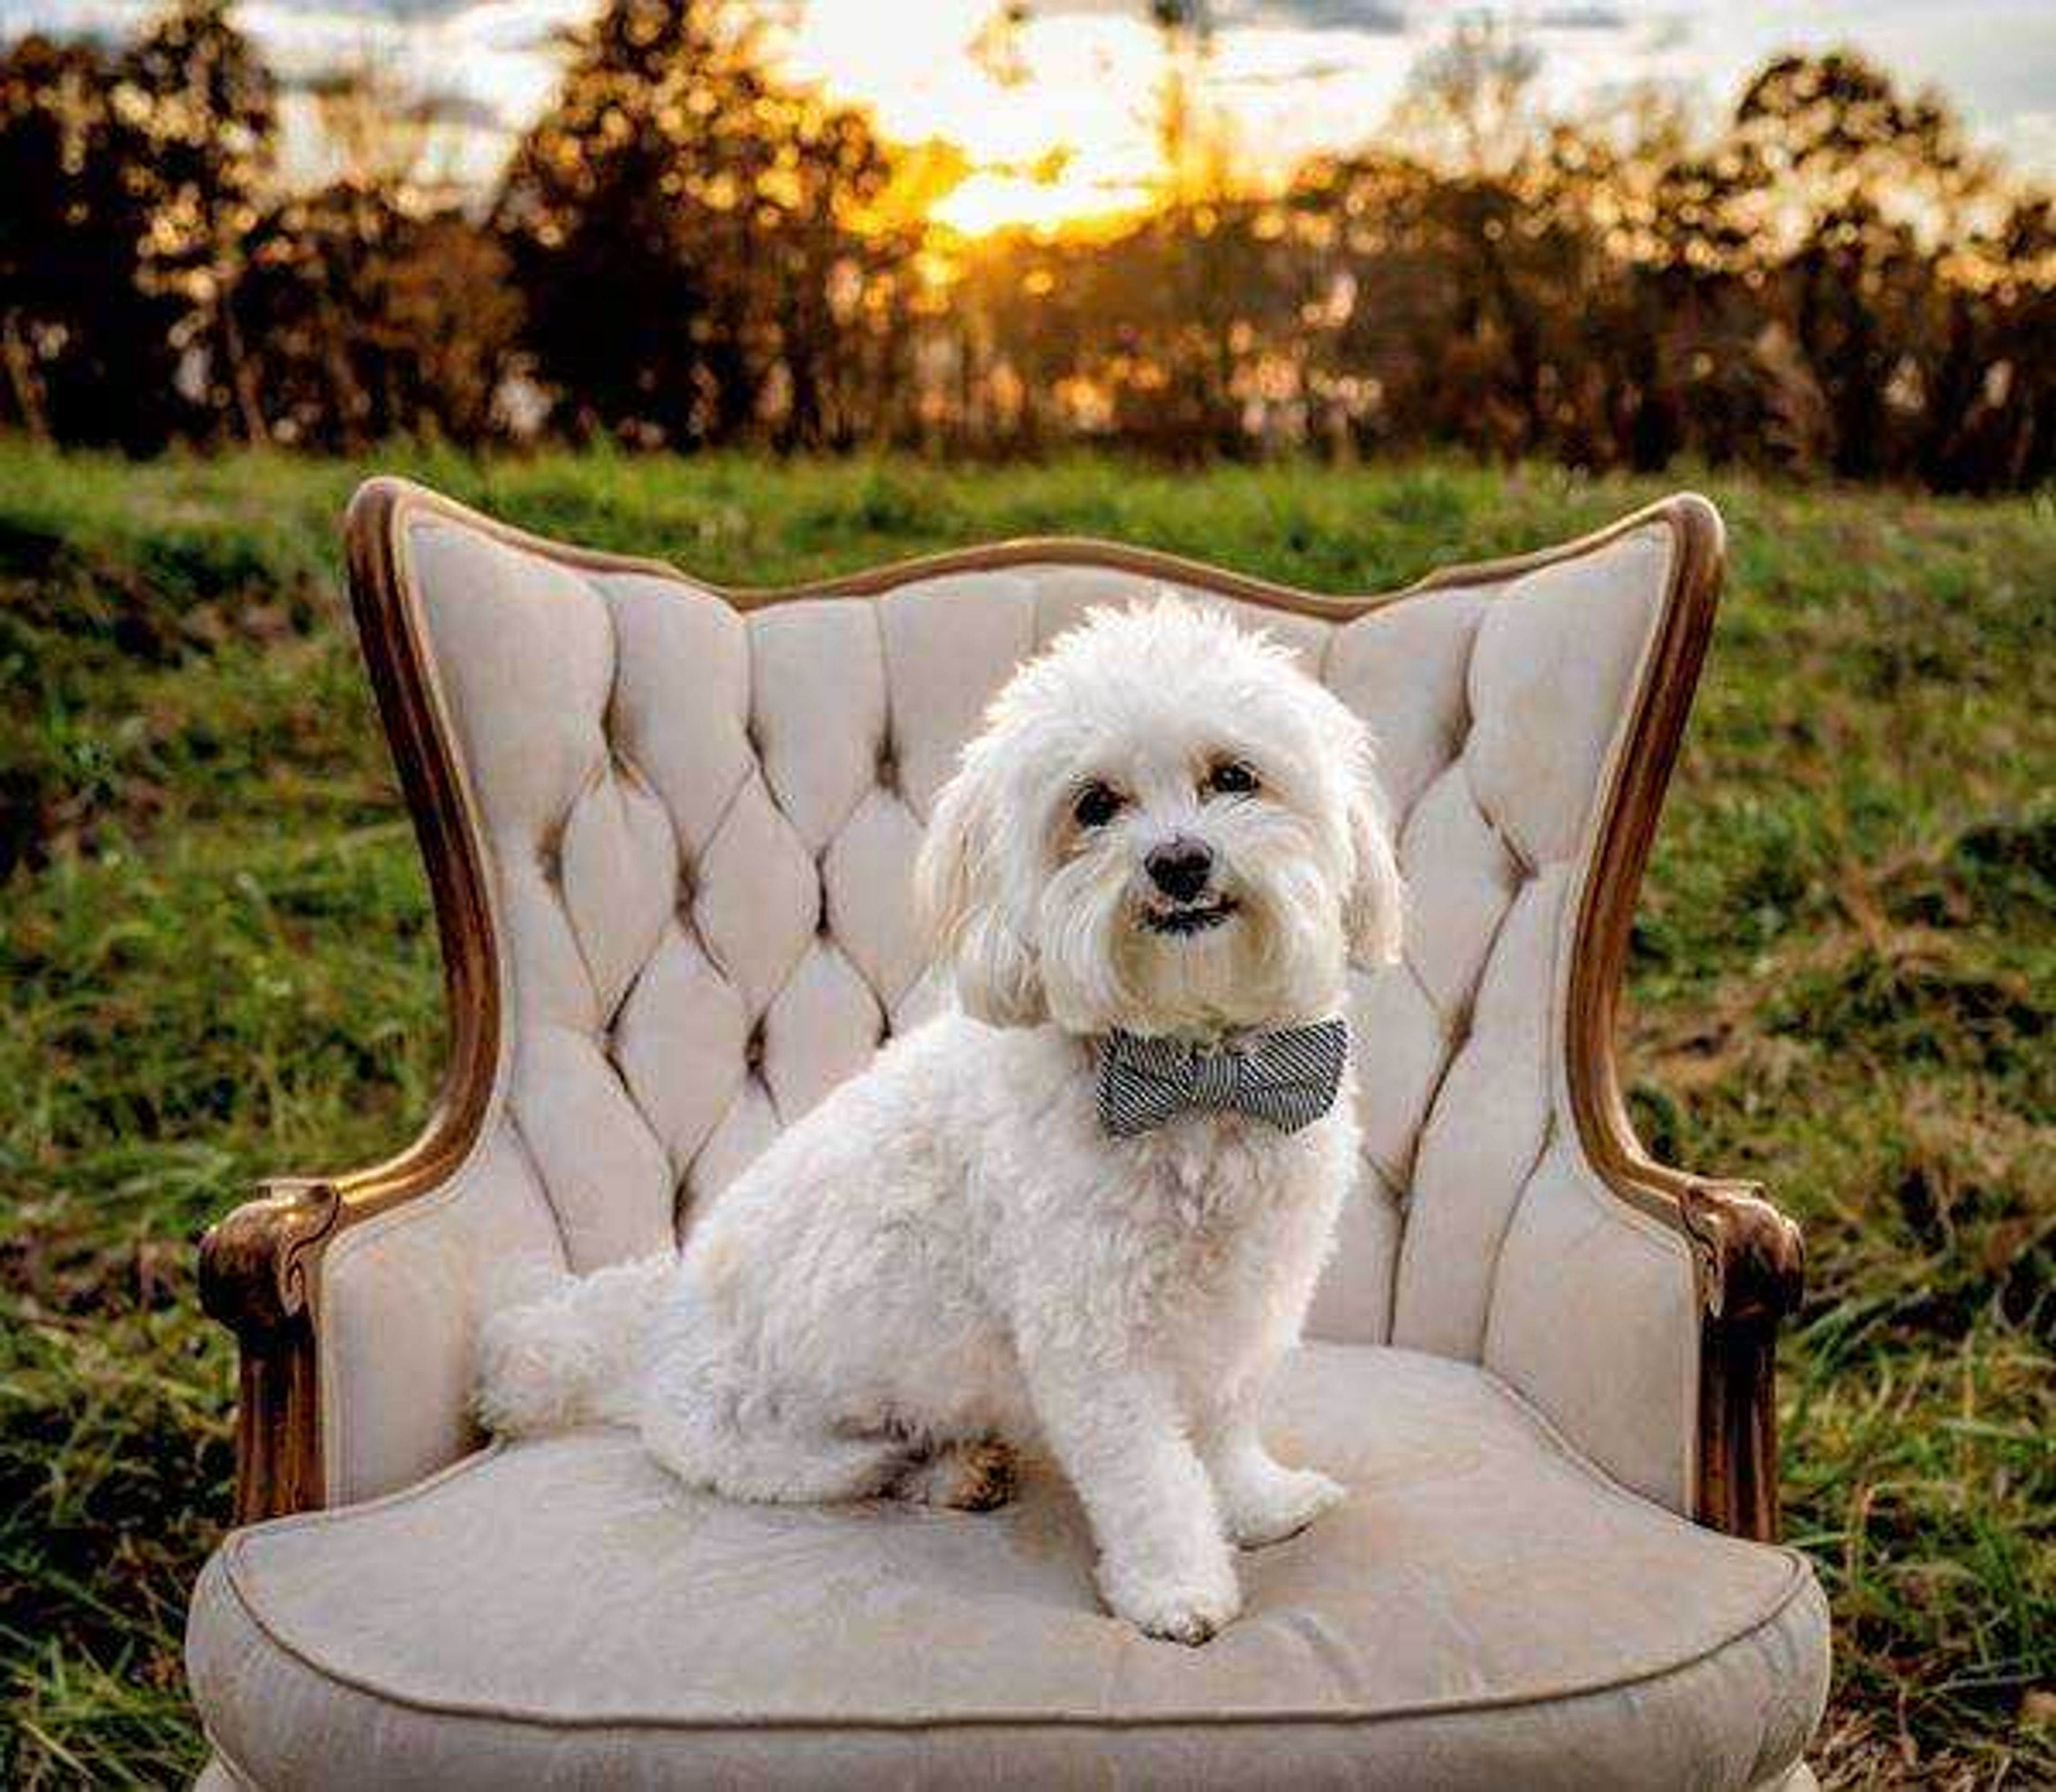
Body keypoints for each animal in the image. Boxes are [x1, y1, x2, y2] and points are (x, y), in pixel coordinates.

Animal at [479, 596, 1406, 1644]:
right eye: (1095, 805)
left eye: (1235, 776)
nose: (1178, 863)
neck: (1196, 1072)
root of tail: (642, 1349)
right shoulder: (1094, 1340)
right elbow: (1151, 1476)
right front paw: (1177, 1590)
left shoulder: (1249, 1303)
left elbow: (1228, 1424)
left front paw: (1258, 1504)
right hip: (779, 1448)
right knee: (865, 1463)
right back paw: (946, 1470)